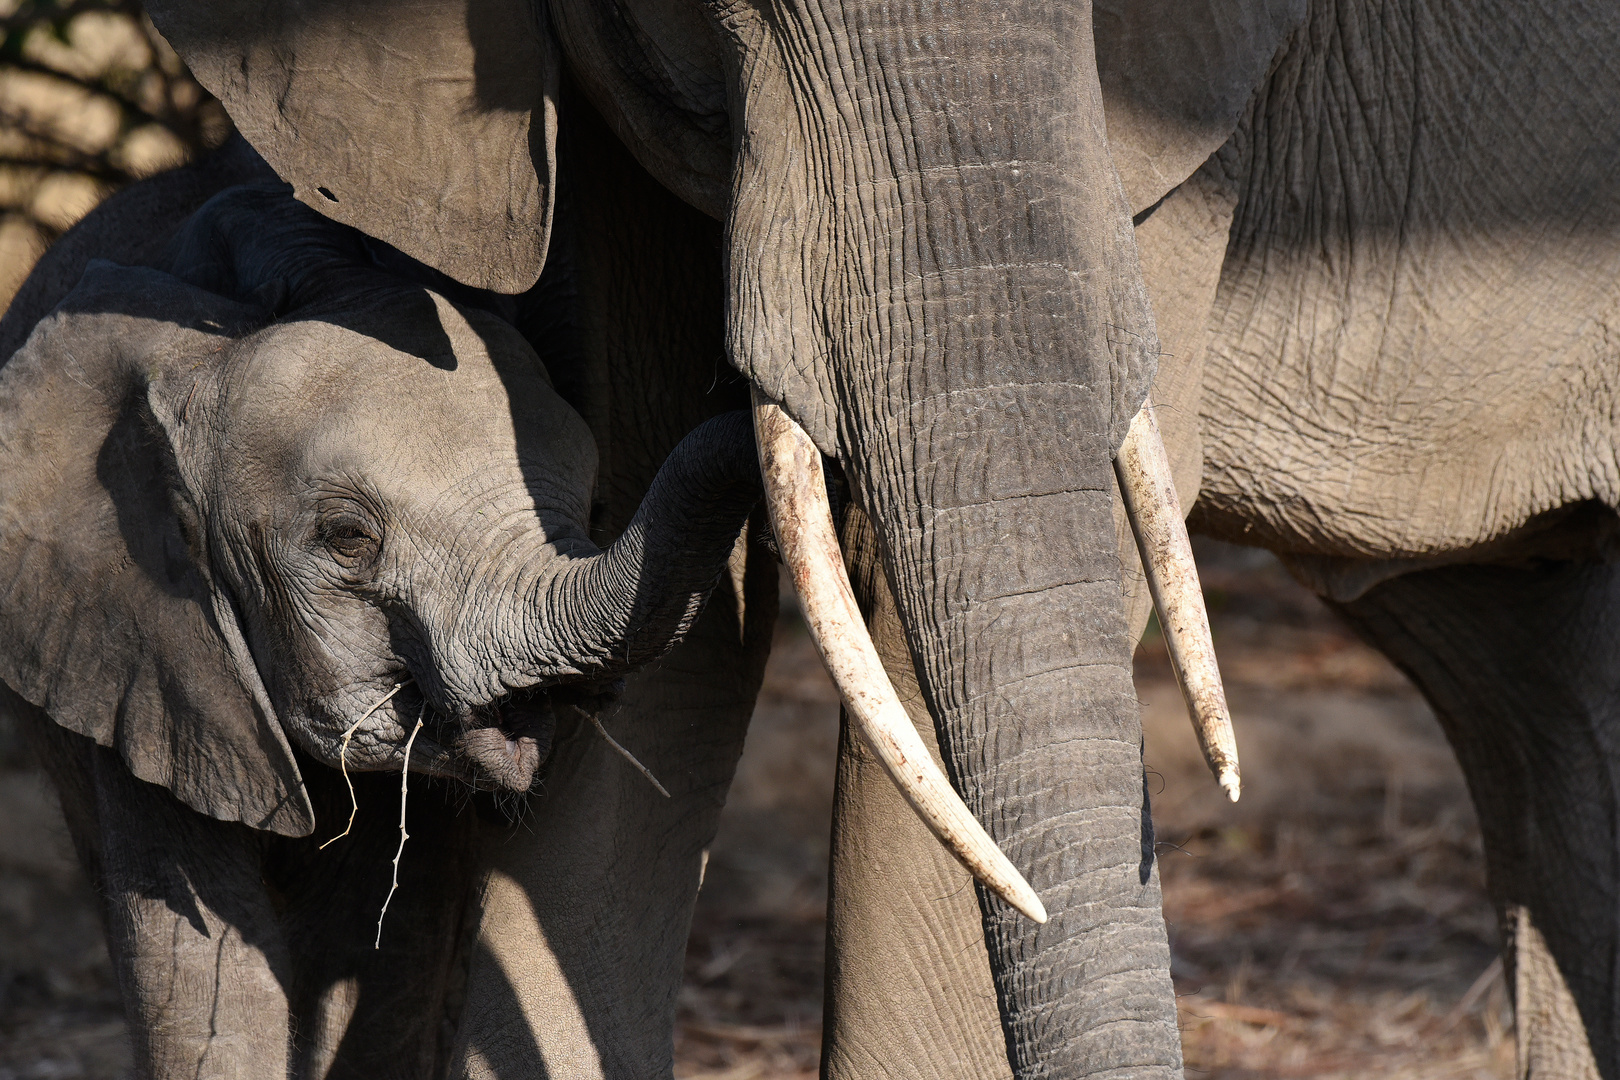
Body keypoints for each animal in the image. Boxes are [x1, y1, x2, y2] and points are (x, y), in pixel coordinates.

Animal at [0, 175, 758, 1075]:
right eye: (348, 537)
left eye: (598, 500)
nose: (763, 404)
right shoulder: (142, 644)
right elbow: (203, 961)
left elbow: (383, 946)